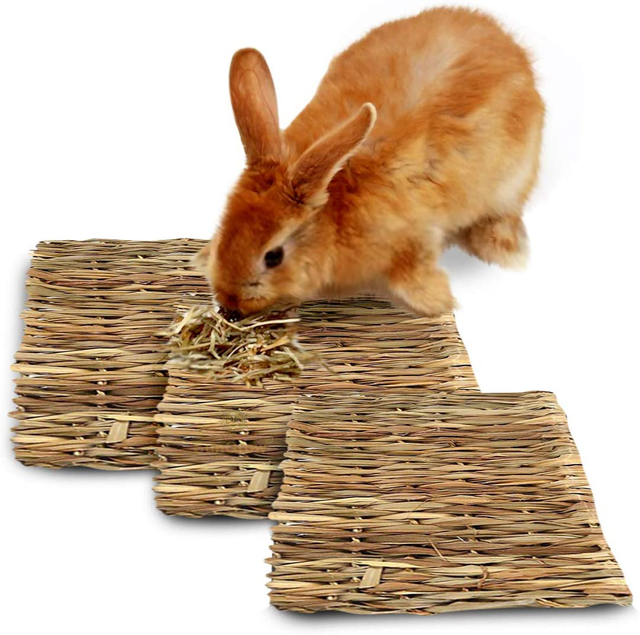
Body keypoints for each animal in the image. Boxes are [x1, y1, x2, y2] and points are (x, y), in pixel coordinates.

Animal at [194, 7, 545, 318]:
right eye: (223, 226)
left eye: (273, 257)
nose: (229, 303)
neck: (334, 212)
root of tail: (506, 42)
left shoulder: (416, 236)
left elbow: (411, 269)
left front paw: (436, 301)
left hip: (511, 181)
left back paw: (506, 250)